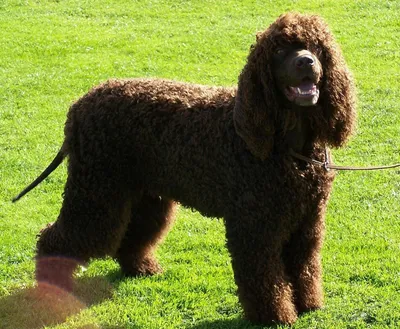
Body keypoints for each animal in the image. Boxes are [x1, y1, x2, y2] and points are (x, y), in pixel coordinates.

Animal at [14, 13, 354, 326]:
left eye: (317, 47)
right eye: (280, 50)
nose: (306, 62)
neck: (286, 146)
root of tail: (78, 106)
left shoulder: (307, 222)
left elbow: (304, 267)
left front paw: (308, 304)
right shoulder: (254, 226)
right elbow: (264, 278)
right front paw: (274, 316)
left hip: (144, 196)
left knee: (135, 234)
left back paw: (140, 268)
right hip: (96, 193)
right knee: (56, 239)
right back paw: (52, 290)